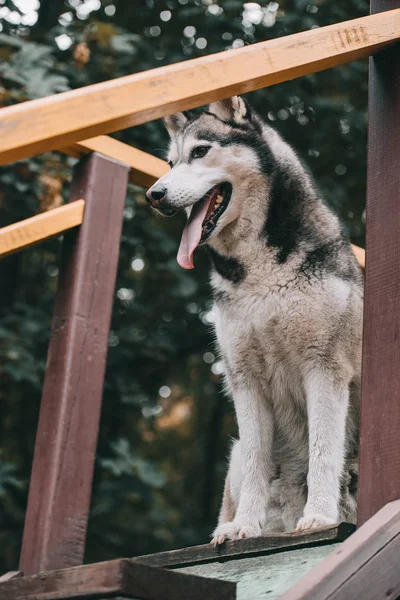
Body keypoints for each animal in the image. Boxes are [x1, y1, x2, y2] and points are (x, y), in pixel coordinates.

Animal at [146, 95, 362, 544]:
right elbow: (257, 464)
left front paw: (319, 517)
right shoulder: (244, 378)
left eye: (200, 152)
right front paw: (245, 525)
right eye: (171, 162)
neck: (259, 274)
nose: (153, 194)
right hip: (234, 450)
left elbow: (323, 451)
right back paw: (229, 525)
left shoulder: (324, 367)